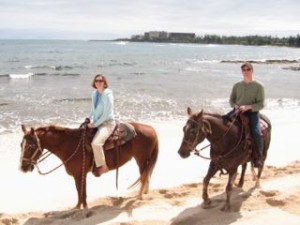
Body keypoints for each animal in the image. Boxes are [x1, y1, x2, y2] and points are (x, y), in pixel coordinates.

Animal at [19, 121, 158, 209]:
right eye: (21, 145)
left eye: (30, 147)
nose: (22, 167)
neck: (69, 145)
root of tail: (152, 129)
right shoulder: (79, 175)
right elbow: (80, 192)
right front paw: (78, 207)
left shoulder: (79, 174)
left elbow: (81, 192)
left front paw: (82, 208)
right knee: (147, 177)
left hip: (142, 160)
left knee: (144, 177)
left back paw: (139, 196)